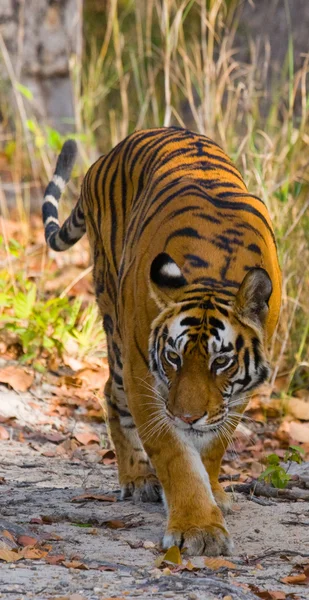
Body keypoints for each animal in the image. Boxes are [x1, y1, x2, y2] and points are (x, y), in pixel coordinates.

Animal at [42, 127, 282, 556]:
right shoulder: (145, 378)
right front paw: (199, 528)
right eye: (173, 357)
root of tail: (105, 157)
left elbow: (215, 445)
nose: (187, 417)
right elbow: (175, 456)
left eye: (221, 362)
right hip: (115, 330)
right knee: (110, 392)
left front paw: (214, 492)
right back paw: (138, 479)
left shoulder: (236, 395)